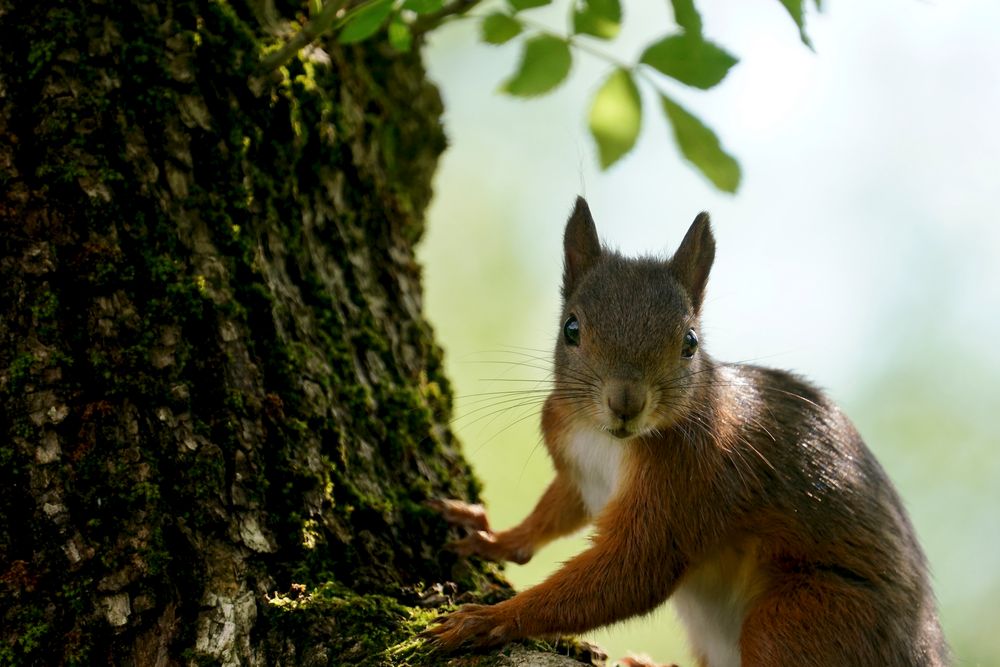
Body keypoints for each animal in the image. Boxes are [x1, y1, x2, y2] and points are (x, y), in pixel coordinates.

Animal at [424, 198, 952, 667]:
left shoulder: (693, 481)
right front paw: (493, 536)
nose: (626, 403)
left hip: (804, 616)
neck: (608, 441)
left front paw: (487, 619)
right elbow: (556, 510)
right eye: (571, 328)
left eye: (690, 343)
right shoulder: (577, 466)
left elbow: (633, 572)